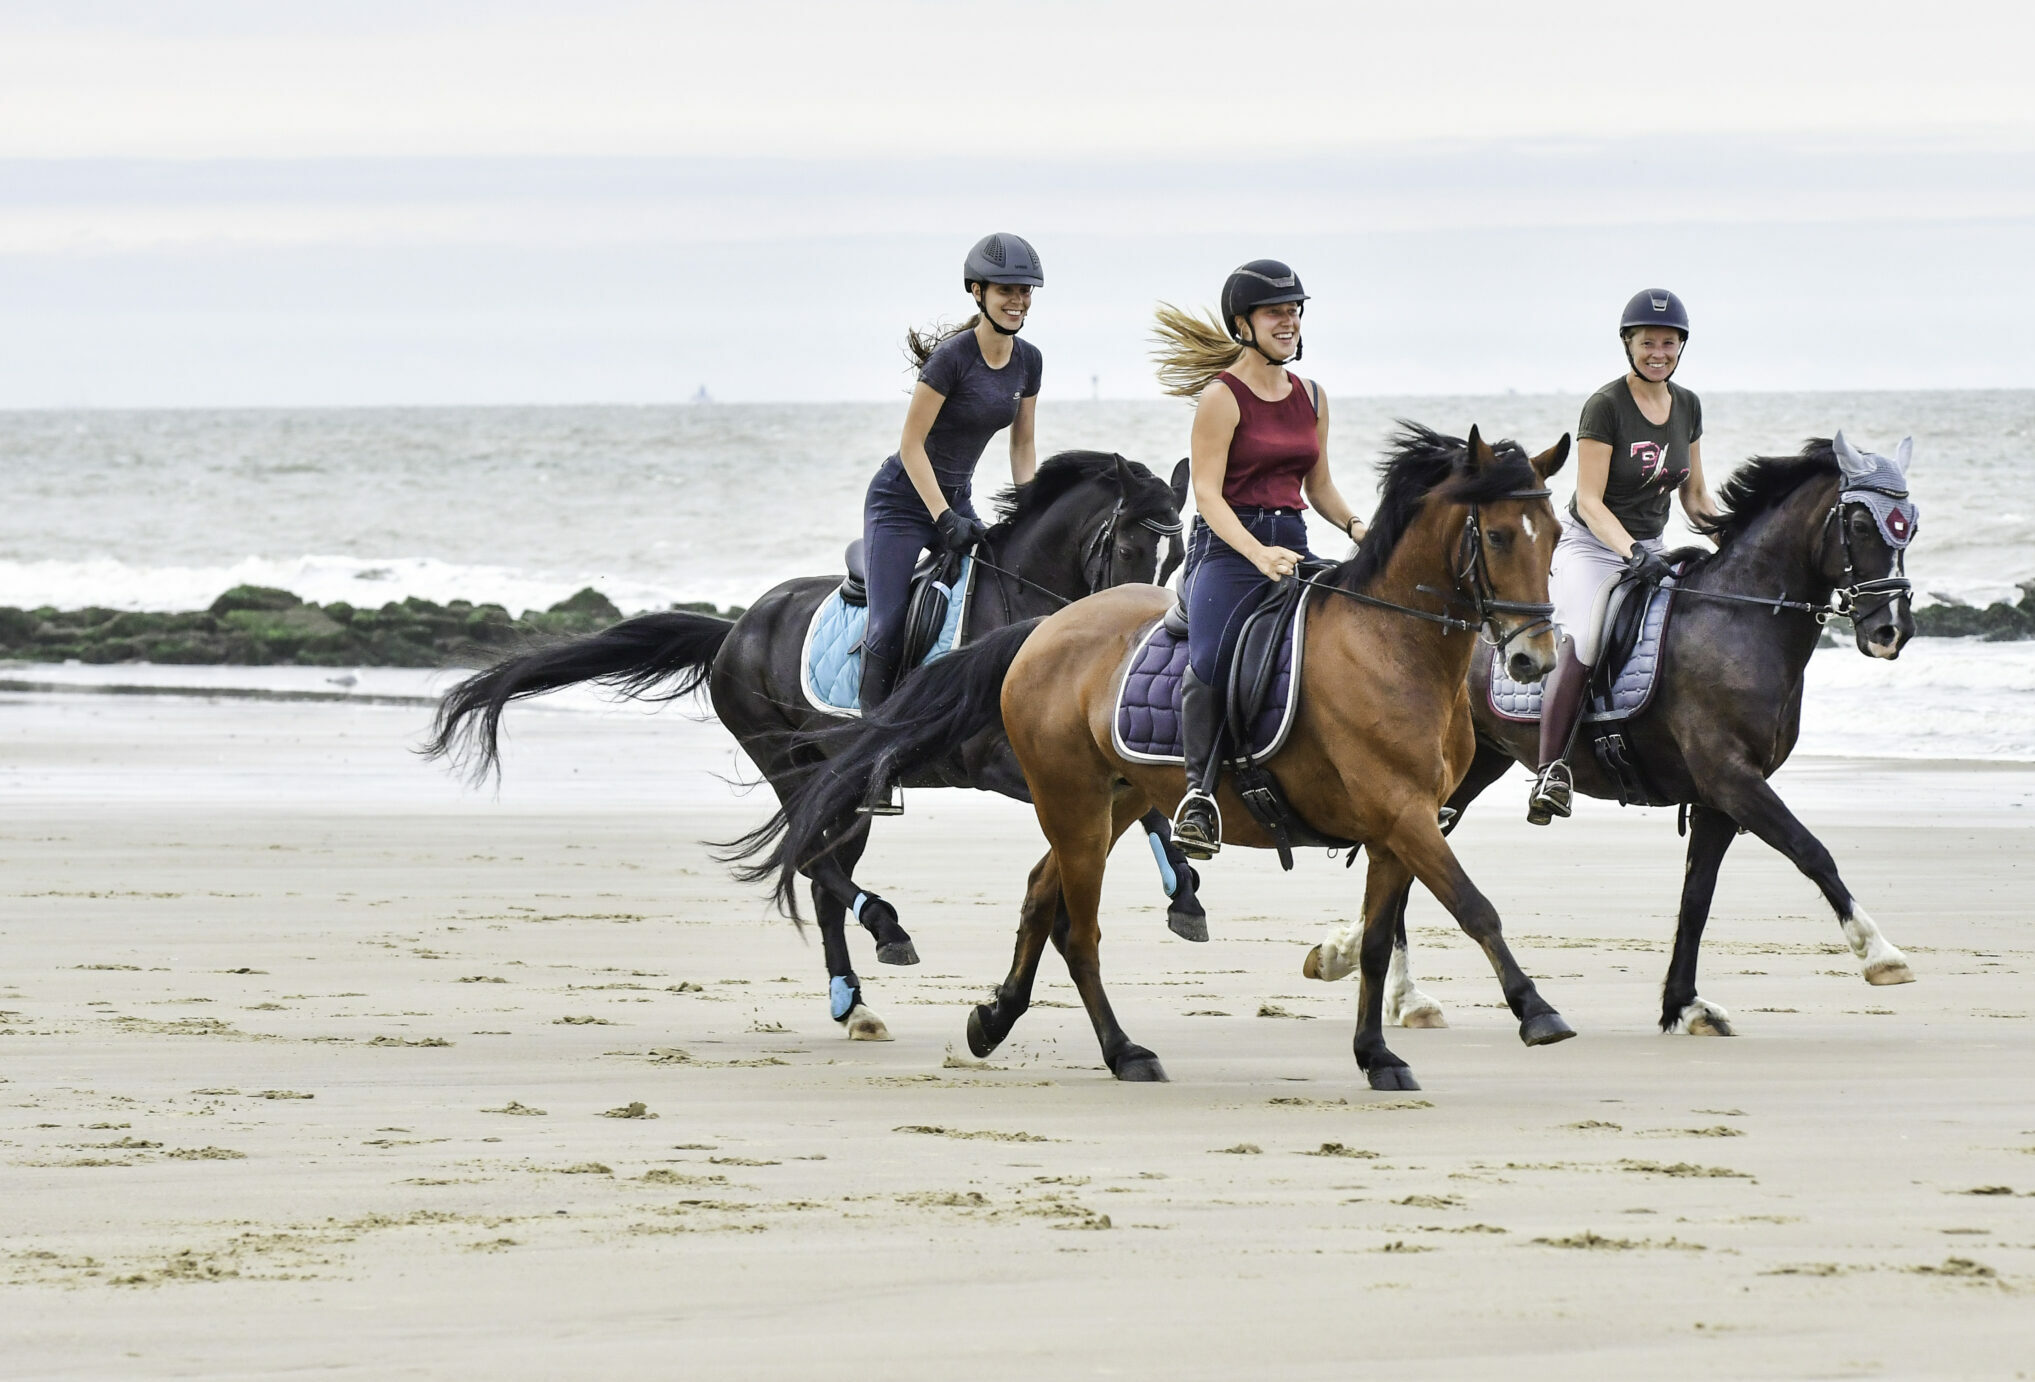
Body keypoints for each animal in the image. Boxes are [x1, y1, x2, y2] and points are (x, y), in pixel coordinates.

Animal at [421, 447, 1196, 1042]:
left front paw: (1184, 894)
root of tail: (735, 627)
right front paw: (1182, 886)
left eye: (1177, 556)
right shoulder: (1006, 761)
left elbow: (1150, 814)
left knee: (822, 879)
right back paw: (883, 933)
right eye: (1130, 545)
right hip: (790, 767)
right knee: (808, 861)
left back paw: (852, 1001)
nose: (1138, 623)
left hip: (842, 786)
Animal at [744, 427, 1571, 1082]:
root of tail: (1045, 629)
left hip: (1114, 800)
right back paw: (1121, 1051)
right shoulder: (1401, 815)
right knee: (1072, 930)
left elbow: (1374, 942)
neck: (1390, 645)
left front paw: (1376, 1056)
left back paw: (991, 1019)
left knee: (1037, 896)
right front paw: (1535, 1010)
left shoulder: (1399, 826)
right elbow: (1475, 907)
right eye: (1499, 536)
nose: (1532, 660)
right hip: (1070, 803)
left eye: (1556, 536)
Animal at [1302, 437, 1921, 1033]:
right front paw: (1880, 954)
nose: (1893, 631)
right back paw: (1404, 997)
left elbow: (1696, 900)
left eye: (1909, 527)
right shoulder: (1733, 780)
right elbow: (1812, 851)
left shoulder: (1719, 801)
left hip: (1473, 768)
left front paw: (1685, 1006)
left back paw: (1358, 962)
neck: (1737, 619)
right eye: (1860, 525)